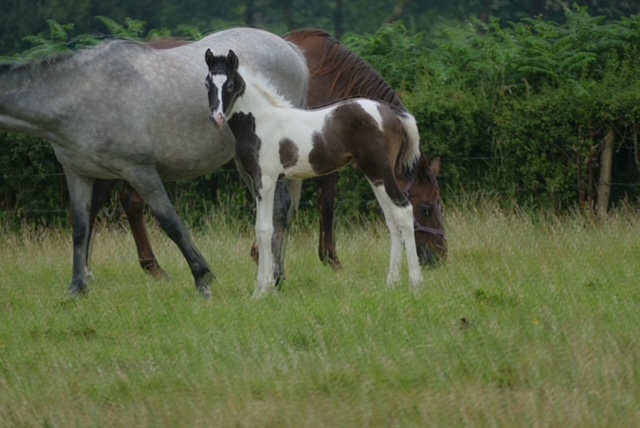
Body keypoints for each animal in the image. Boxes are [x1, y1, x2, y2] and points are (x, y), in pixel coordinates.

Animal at [0, 27, 309, 298]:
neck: (82, 95)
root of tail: (292, 52)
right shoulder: (78, 174)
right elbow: (80, 227)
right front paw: (77, 288)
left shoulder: (139, 171)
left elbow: (171, 223)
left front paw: (203, 279)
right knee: (278, 209)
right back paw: (275, 279)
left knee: (279, 210)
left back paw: (274, 278)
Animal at [205, 49, 443, 297]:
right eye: (207, 83)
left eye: (230, 84)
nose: (216, 117)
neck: (260, 121)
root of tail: (393, 115)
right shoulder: (260, 181)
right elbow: (263, 229)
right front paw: (263, 288)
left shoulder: (266, 180)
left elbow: (264, 230)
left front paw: (261, 290)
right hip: (375, 175)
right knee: (392, 219)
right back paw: (392, 283)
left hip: (381, 172)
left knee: (404, 211)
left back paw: (415, 283)